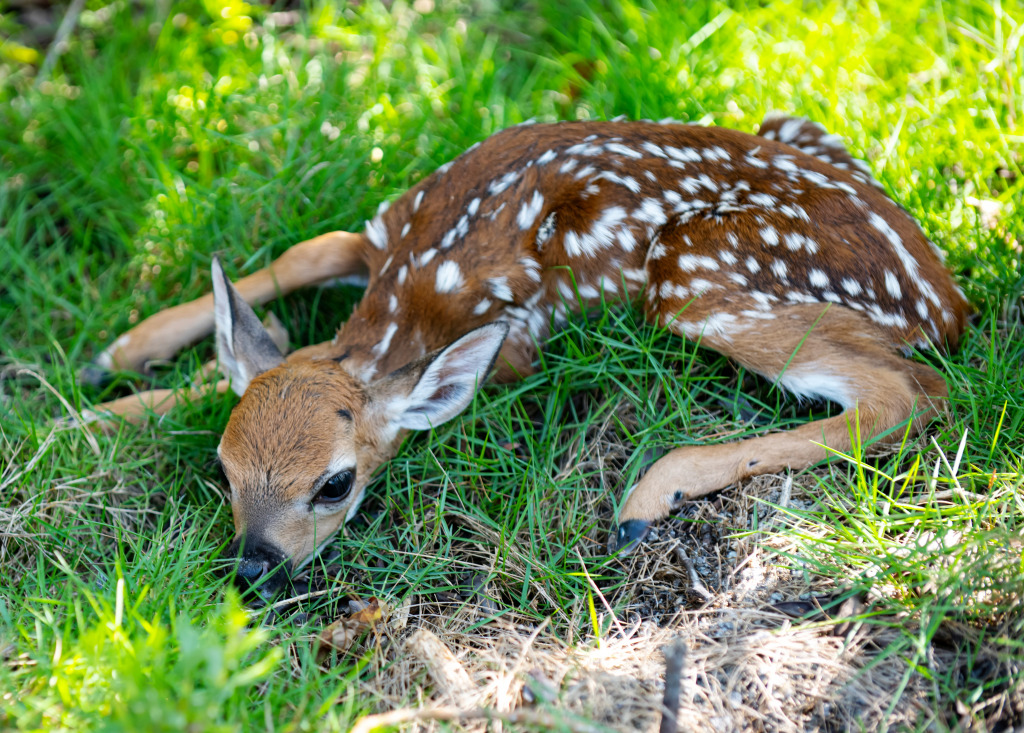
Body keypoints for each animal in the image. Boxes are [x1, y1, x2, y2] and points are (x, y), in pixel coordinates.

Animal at [86, 116, 966, 593]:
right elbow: (304, 259)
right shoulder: (374, 233)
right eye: (223, 468)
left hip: (695, 272)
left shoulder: (516, 342)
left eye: (335, 484)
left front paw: (102, 406)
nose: (253, 567)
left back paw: (648, 498)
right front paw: (111, 378)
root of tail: (947, 300)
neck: (414, 287)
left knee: (906, 390)